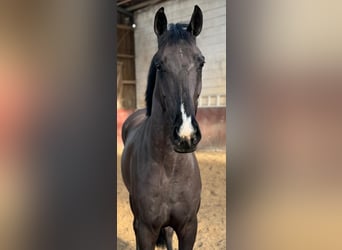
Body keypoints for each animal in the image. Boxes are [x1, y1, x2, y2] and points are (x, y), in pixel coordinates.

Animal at [121, 5, 204, 248]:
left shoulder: (189, 228)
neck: (170, 169)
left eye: (201, 62)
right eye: (159, 64)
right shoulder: (146, 229)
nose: (185, 135)